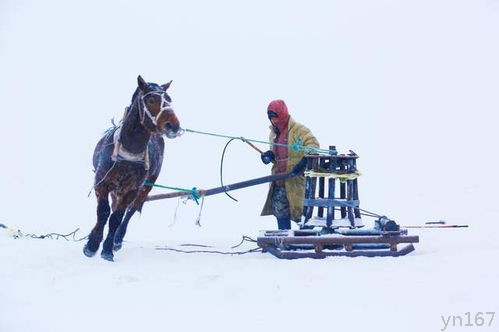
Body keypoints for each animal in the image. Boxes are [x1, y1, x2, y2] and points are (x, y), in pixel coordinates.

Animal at [84, 76, 184, 262]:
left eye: (169, 99)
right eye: (151, 100)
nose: (173, 126)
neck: (128, 152)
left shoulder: (132, 189)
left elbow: (117, 217)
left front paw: (107, 249)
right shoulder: (102, 181)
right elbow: (103, 212)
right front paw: (92, 245)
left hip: (145, 187)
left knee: (130, 210)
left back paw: (117, 239)